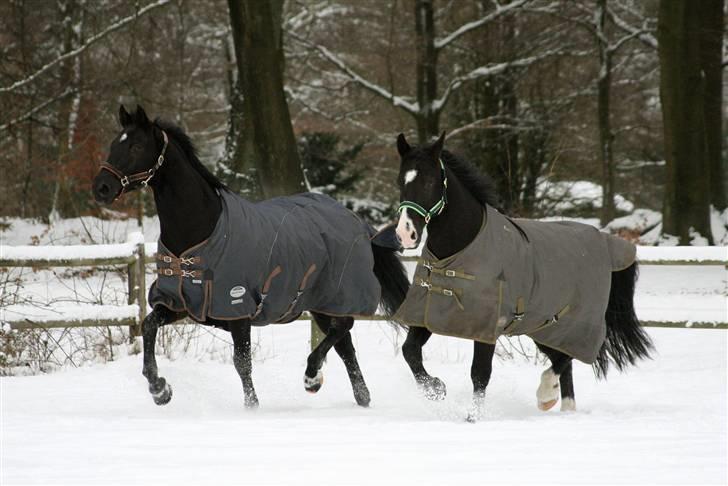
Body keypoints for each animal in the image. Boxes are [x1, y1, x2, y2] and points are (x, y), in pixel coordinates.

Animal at [91, 105, 410, 406]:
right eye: (113, 144)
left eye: (136, 146)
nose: (101, 188)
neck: (202, 232)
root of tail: (356, 220)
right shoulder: (180, 304)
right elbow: (147, 326)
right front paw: (159, 389)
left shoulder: (237, 308)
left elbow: (242, 363)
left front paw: (252, 406)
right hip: (321, 304)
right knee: (345, 344)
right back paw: (357, 395)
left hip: (333, 297)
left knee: (344, 328)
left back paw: (311, 377)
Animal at [392, 134, 656, 422]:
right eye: (400, 181)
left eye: (429, 180)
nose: (406, 234)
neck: (460, 250)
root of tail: (605, 241)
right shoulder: (426, 314)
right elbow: (410, 352)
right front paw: (437, 388)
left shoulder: (488, 325)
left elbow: (479, 374)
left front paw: (472, 418)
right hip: (544, 326)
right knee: (563, 360)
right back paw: (564, 408)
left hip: (574, 322)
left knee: (569, 356)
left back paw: (546, 395)